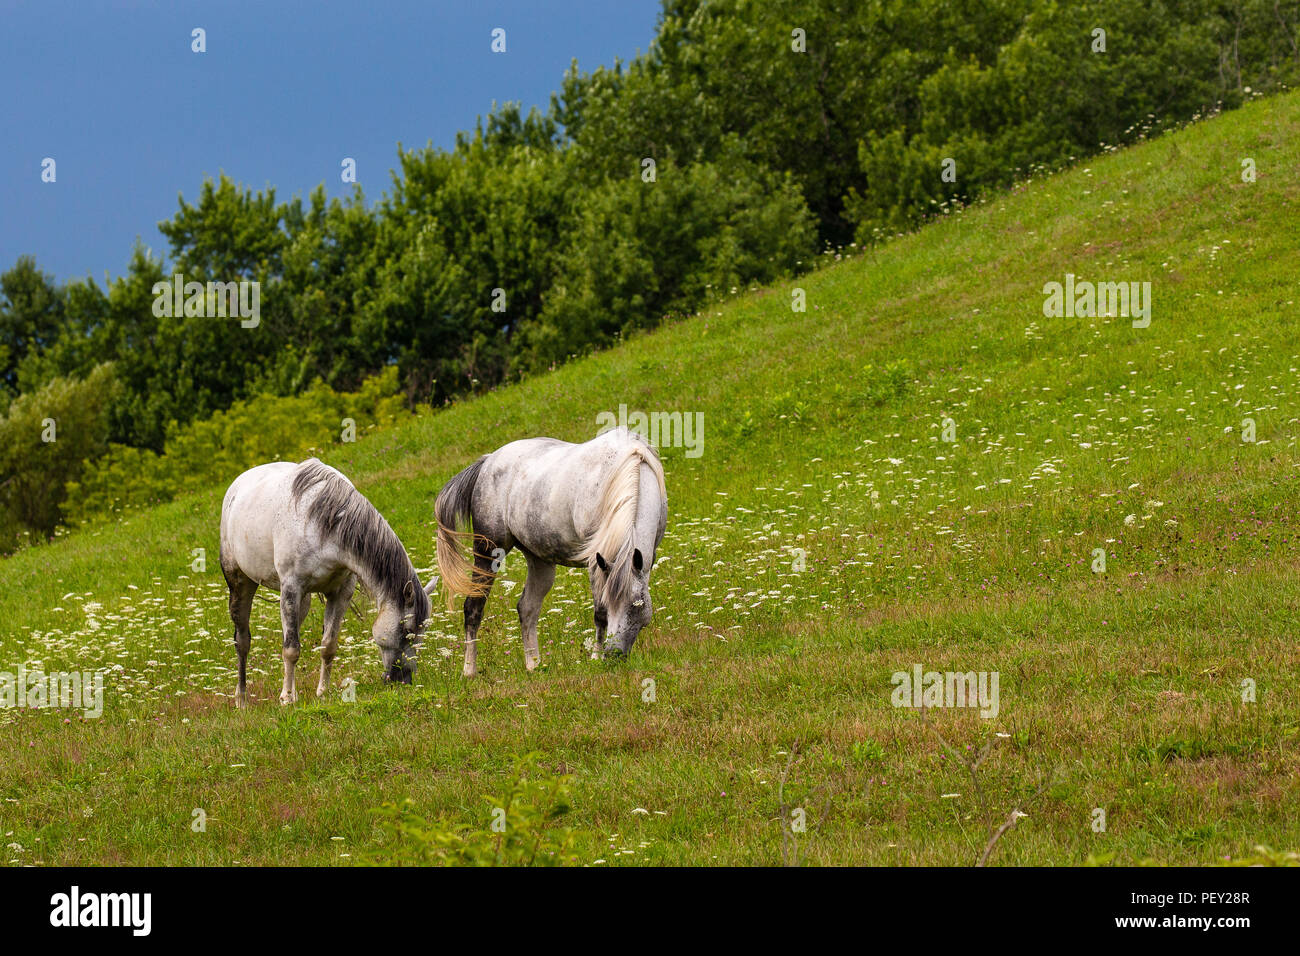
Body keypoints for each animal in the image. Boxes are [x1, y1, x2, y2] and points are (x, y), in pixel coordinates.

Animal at [215, 460, 434, 707]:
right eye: (406, 630)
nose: (404, 679)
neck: (323, 525)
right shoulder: (291, 589)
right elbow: (291, 649)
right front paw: (287, 699)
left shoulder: (340, 593)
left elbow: (328, 646)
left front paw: (323, 692)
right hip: (241, 583)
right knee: (242, 641)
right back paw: (242, 699)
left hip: (303, 601)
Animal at [436, 429, 670, 676]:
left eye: (636, 605)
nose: (614, 654)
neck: (626, 473)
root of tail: (488, 462)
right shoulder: (596, 562)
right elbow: (600, 614)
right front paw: (596, 658)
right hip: (488, 554)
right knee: (473, 607)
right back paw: (469, 670)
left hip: (540, 562)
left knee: (527, 608)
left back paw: (534, 665)